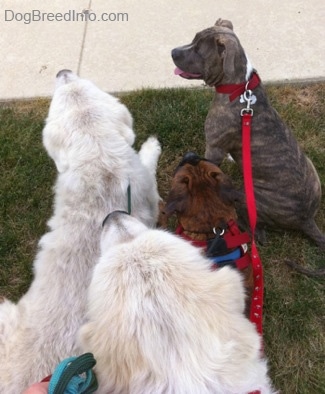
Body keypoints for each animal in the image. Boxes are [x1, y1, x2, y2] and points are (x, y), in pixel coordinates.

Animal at [0, 69, 161, 392]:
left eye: (84, 85)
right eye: (58, 99)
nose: (62, 71)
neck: (97, 157)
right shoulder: (149, 191)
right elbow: (148, 164)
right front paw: (151, 146)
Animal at [171, 18, 322, 251]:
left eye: (198, 50)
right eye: (193, 39)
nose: (172, 52)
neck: (239, 87)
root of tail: (307, 220)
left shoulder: (213, 147)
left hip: (244, 195)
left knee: (257, 230)